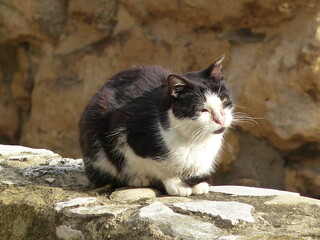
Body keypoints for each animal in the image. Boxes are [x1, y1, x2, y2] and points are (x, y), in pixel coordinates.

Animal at [77, 55, 232, 197]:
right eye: (202, 109)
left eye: (224, 100)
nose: (221, 119)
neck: (194, 139)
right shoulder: (126, 133)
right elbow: (159, 167)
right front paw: (176, 184)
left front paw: (199, 183)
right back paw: (138, 179)